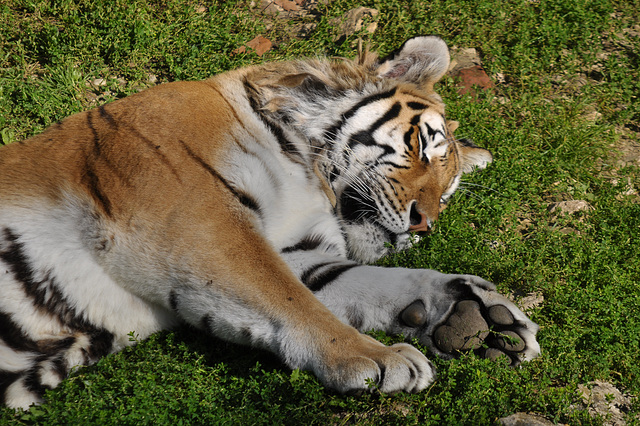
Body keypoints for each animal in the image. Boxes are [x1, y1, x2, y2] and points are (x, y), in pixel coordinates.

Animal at [0, 36, 540, 410]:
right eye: (422, 147)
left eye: (446, 195)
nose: (423, 224)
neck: (309, 173)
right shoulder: (193, 216)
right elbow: (287, 298)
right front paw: (378, 358)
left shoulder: (296, 252)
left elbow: (355, 286)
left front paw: (475, 316)